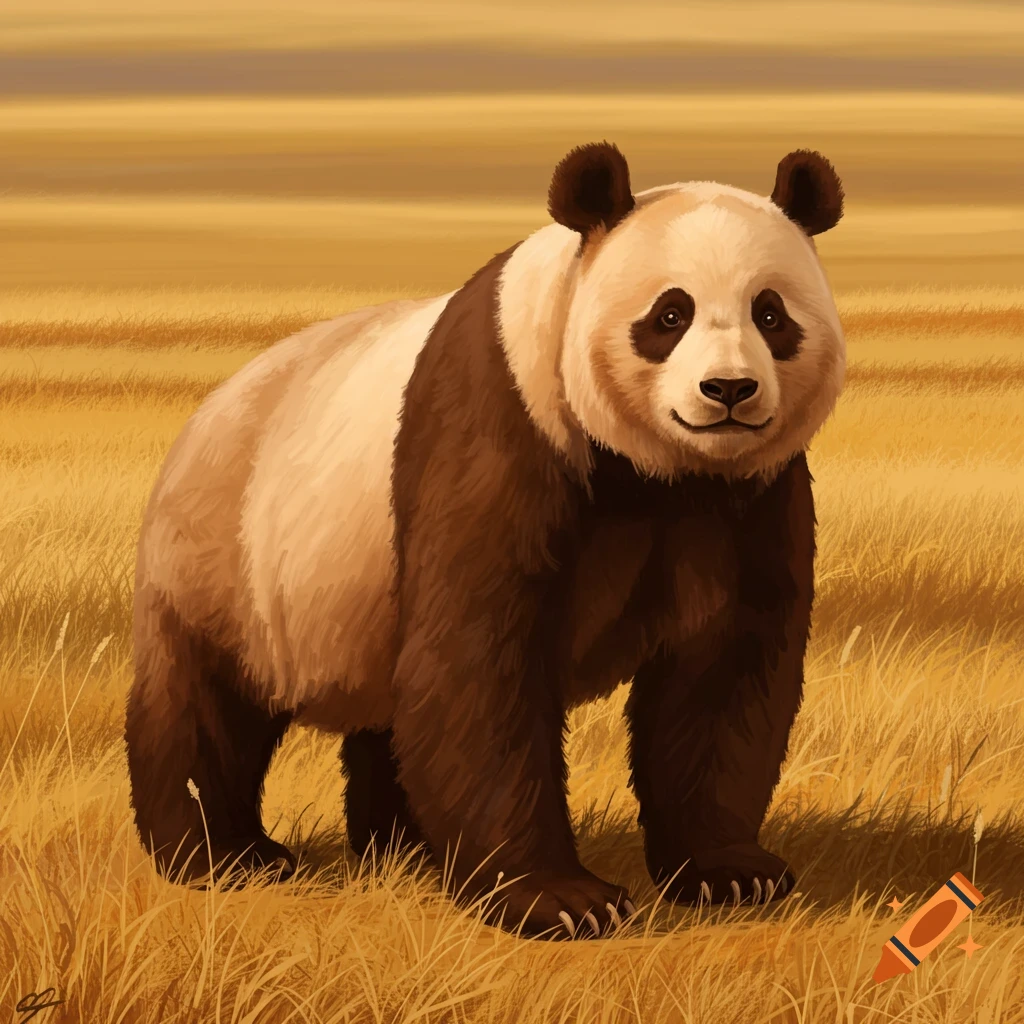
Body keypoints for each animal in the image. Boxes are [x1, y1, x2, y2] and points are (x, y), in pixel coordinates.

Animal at [126, 141, 845, 940]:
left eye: (771, 314)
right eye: (669, 314)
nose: (728, 390)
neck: (660, 473)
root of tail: (203, 413)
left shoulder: (745, 497)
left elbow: (724, 667)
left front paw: (731, 873)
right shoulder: (501, 428)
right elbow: (479, 658)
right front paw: (561, 900)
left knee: (392, 715)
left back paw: (403, 850)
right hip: (229, 556)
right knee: (208, 704)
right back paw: (222, 855)